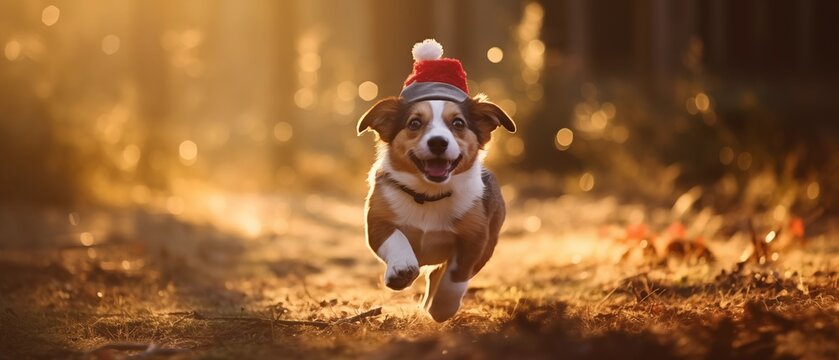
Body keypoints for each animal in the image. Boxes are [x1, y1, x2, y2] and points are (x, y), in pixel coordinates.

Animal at [356, 40, 516, 320]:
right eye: (414, 123)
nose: (438, 142)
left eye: (459, 123)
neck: (428, 195)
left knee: (438, 273)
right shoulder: (377, 222)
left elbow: (455, 276)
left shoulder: (475, 240)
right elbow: (395, 238)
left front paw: (442, 307)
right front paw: (401, 268)